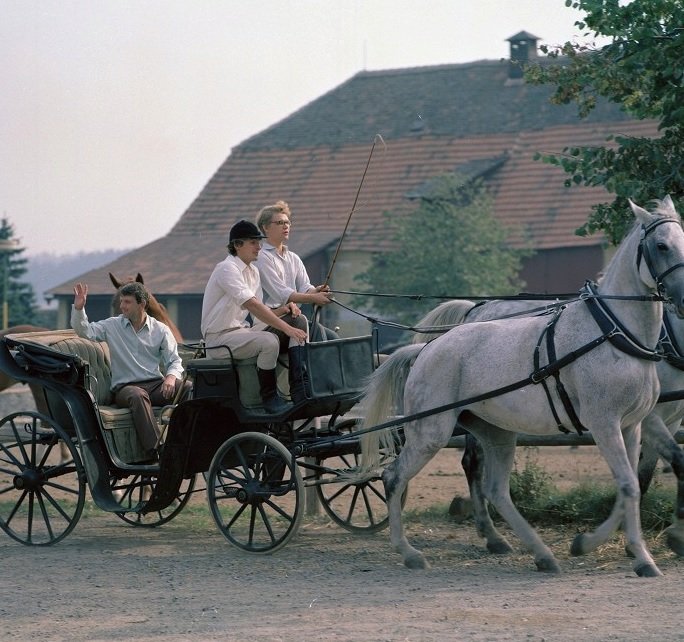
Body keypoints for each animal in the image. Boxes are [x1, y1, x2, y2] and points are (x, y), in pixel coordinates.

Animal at [358, 196, 684, 576]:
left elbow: (630, 487)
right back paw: (409, 552)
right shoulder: (606, 424)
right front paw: (620, 551)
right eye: (661, 245)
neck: (613, 333)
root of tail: (426, 349)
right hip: (430, 433)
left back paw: (539, 554)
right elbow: (630, 485)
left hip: (496, 432)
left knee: (496, 489)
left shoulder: (632, 425)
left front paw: (623, 551)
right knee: (393, 477)